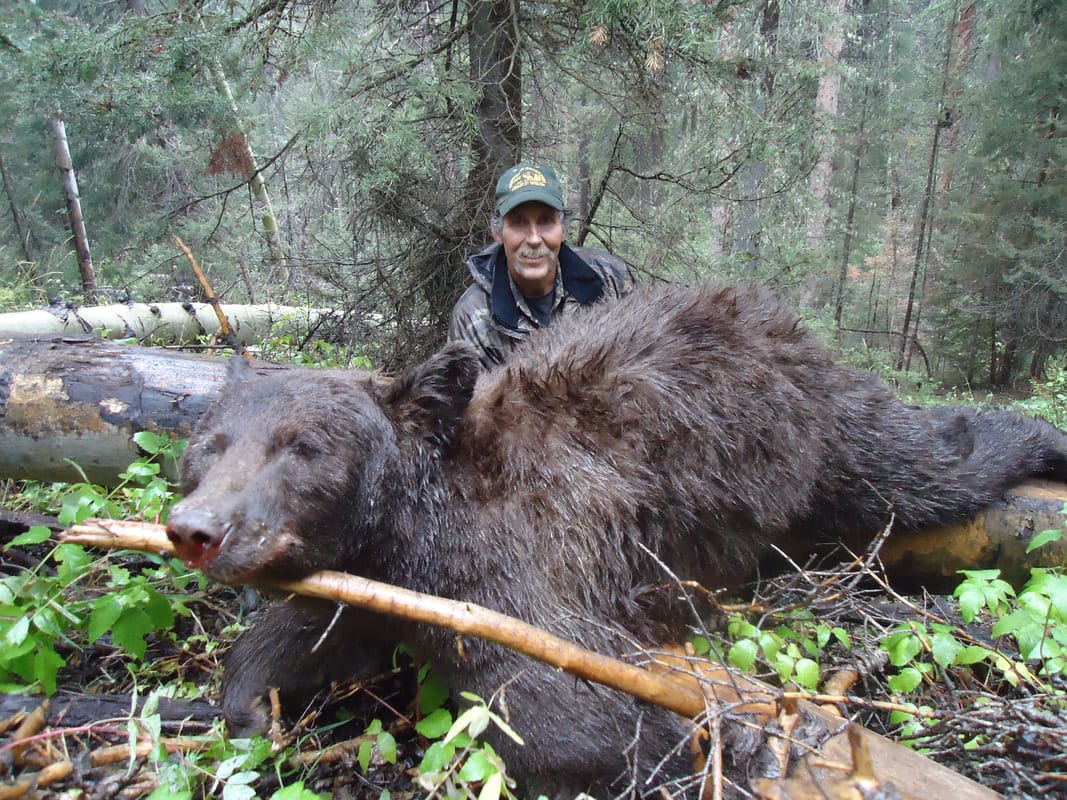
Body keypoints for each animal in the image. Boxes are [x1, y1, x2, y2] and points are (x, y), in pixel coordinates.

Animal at [165, 282, 1067, 798]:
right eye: (208, 446)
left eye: (302, 447)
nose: (197, 531)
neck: (414, 522)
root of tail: (770, 312)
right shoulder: (366, 582)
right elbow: (297, 639)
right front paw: (251, 707)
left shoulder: (507, 574)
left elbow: (559, 711)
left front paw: (718, 748)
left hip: (824, 433)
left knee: (920, 462)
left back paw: (1038, 439)